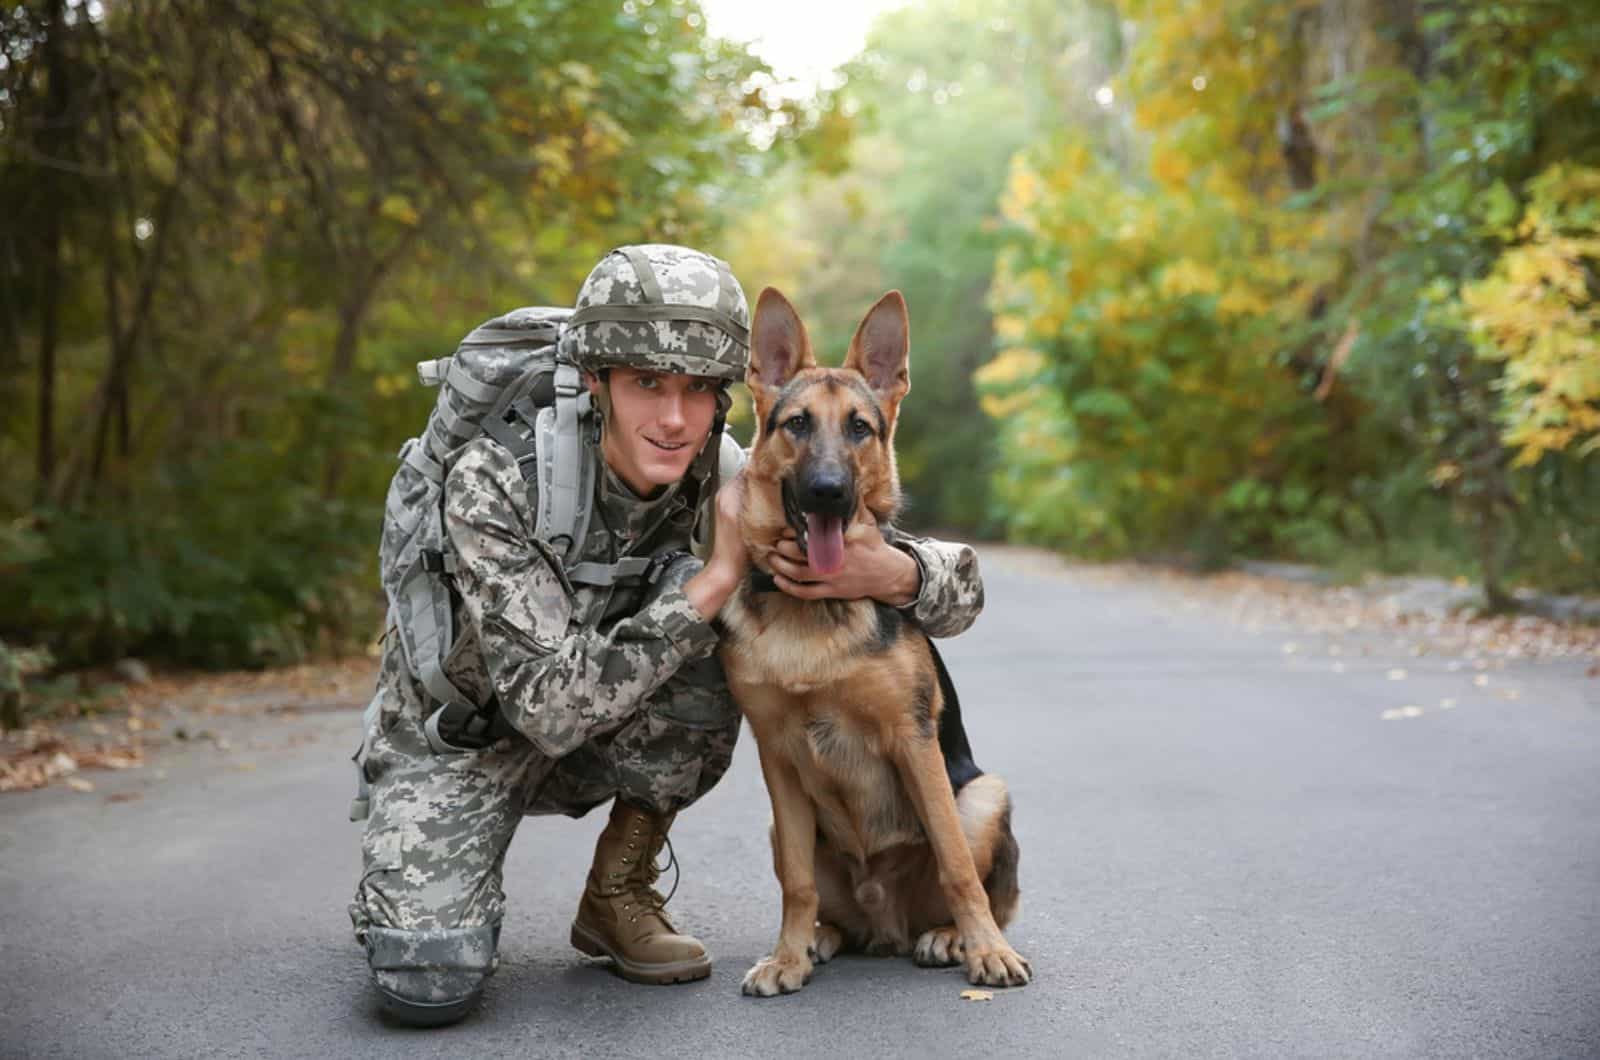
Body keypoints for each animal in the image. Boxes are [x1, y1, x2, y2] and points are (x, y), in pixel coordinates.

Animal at [720, 288, 1030, 999]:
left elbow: (955, 865)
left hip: (984, 794)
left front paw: (987, 953)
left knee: (972, 884)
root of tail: (885, 926)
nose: (829, 493)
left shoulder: (912, 742)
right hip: (787, 827)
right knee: (824, 903)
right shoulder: (777, 756)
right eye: (797, 424)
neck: (812, 608)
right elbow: (797, 883)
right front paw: (786, 957)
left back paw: (952, 938)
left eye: (860, 428)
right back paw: (817, 940)